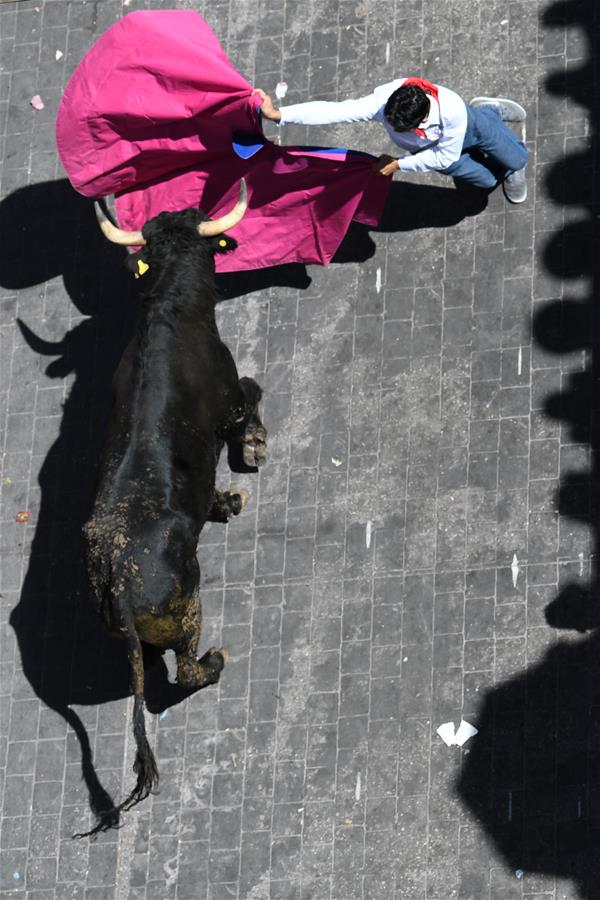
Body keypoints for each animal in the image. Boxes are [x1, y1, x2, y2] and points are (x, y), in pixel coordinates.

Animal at [82, 188, 268, 828]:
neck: (168, 306)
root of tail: (118, 578)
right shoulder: (232, 397)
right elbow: (253, 394)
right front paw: (253, 453)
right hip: (188, 609)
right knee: (186, 671)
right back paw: (216, 659)